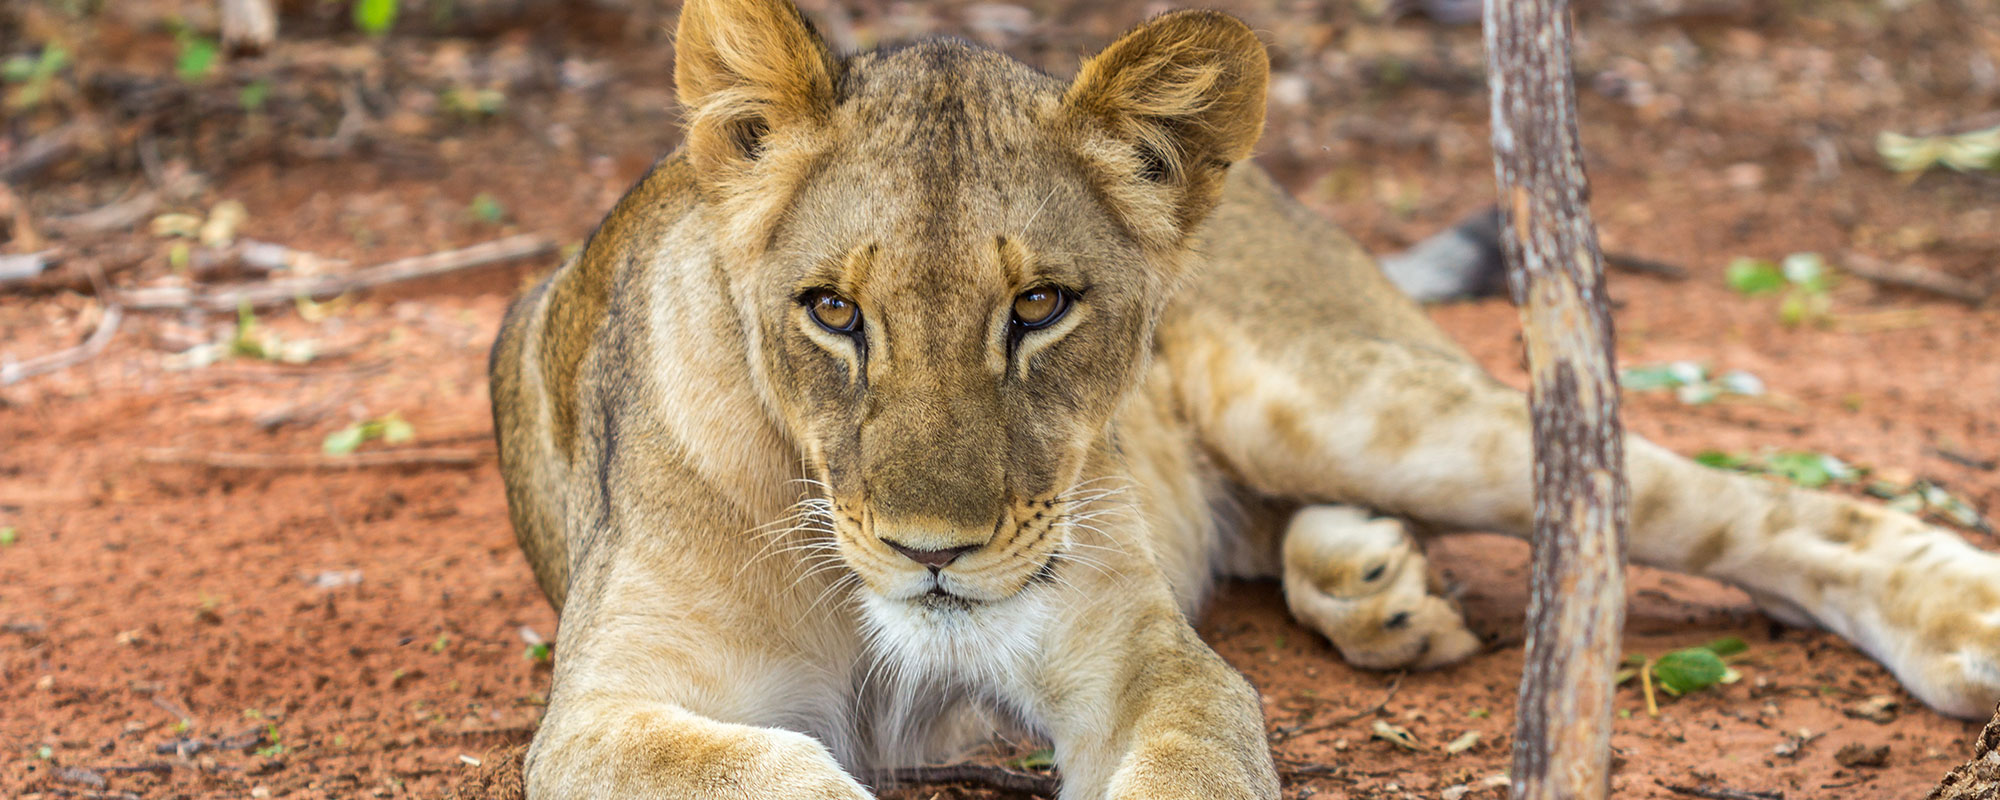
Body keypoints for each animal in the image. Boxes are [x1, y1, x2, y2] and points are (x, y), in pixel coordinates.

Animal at [488, 3, 2000, 796]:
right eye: (832, 312)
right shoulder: (602, 714)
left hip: (1344, 399)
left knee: (1722, 496)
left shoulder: (1145, 662)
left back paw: (1964, 619)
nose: (933, 552)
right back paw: (1370, 582)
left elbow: (1191, 757)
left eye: (1038, 308)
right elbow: (777, 767)